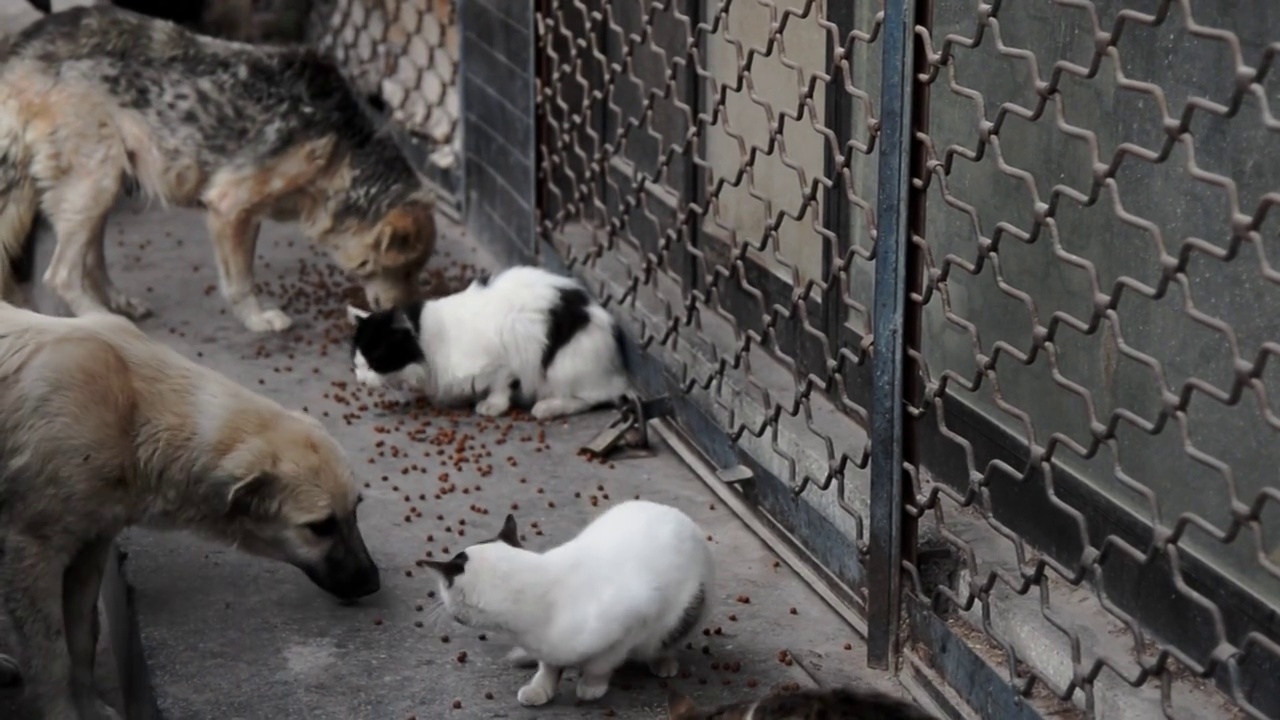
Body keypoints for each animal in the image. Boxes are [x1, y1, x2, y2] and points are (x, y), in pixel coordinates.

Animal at [0, 6, 437, 330]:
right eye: (406, 271)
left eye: (418, 273)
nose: (408, 320)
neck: (345, 149)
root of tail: (19, 52)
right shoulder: (228, 207)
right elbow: (240, 281)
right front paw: (259, 321)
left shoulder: (249, 213)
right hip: (97, 181)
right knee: (60, 275)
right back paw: (103, 319)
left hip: (105, 184)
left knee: (90, 260)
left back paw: (119, 302)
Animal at [0, 302, 378, 717]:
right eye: (321, 526)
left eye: (355, 511)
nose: (373, 582)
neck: (131, 411)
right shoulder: (31, 551)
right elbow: (51, 656)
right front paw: (63, 711)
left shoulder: (91, 542)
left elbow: (82, 636)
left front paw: (91, 706)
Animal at [345, 266, 629, 417]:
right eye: (357, 364)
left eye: (374, 362)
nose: (360, 380)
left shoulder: (508, 353)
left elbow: (502, 384)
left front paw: (493, 405)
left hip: (562, 369)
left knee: (594, 399)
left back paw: (547, 408)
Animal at [424, 497, 716, 702]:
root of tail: (676, 513)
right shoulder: (547, 647)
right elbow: (549, 667)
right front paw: (540, 689)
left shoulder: (636, 620)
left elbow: (601, 663)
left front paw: (591, 686)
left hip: (688, 607)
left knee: (663, 641)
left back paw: (662, 661)